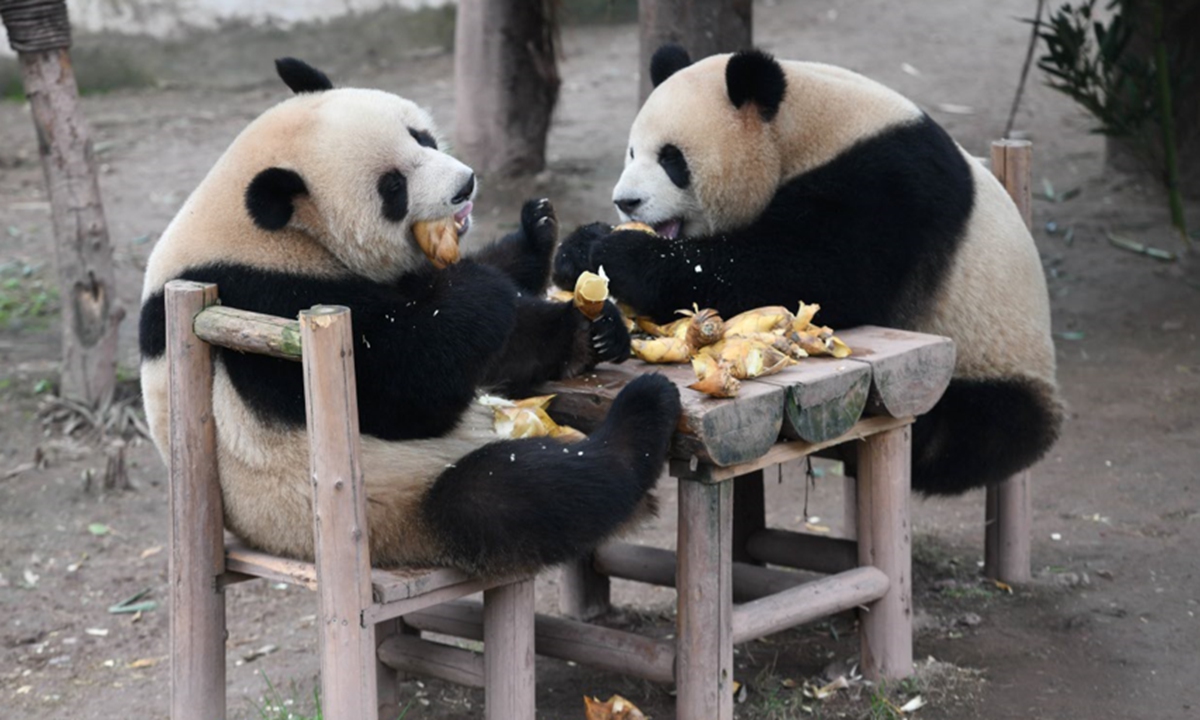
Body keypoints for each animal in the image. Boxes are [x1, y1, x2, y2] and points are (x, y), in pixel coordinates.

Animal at [138, 58, 682, 576]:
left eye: (421, 136)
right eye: (393, 186)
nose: (465, 185)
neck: (265, 229)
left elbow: (490, 345)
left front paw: (547, 248)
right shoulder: (265, 298)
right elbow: (408, 386)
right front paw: (484, 287)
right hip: (389, 503)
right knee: (514, 492)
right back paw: (640, 416)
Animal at [553, 45, 1063, 495]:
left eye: (671, 158)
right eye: (631, 152)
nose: (627, 201)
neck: (802, 127)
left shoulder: (888, 185)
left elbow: (813, 272)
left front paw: (623, 254)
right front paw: (578, 248)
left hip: (993, 356)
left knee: (967, 430)